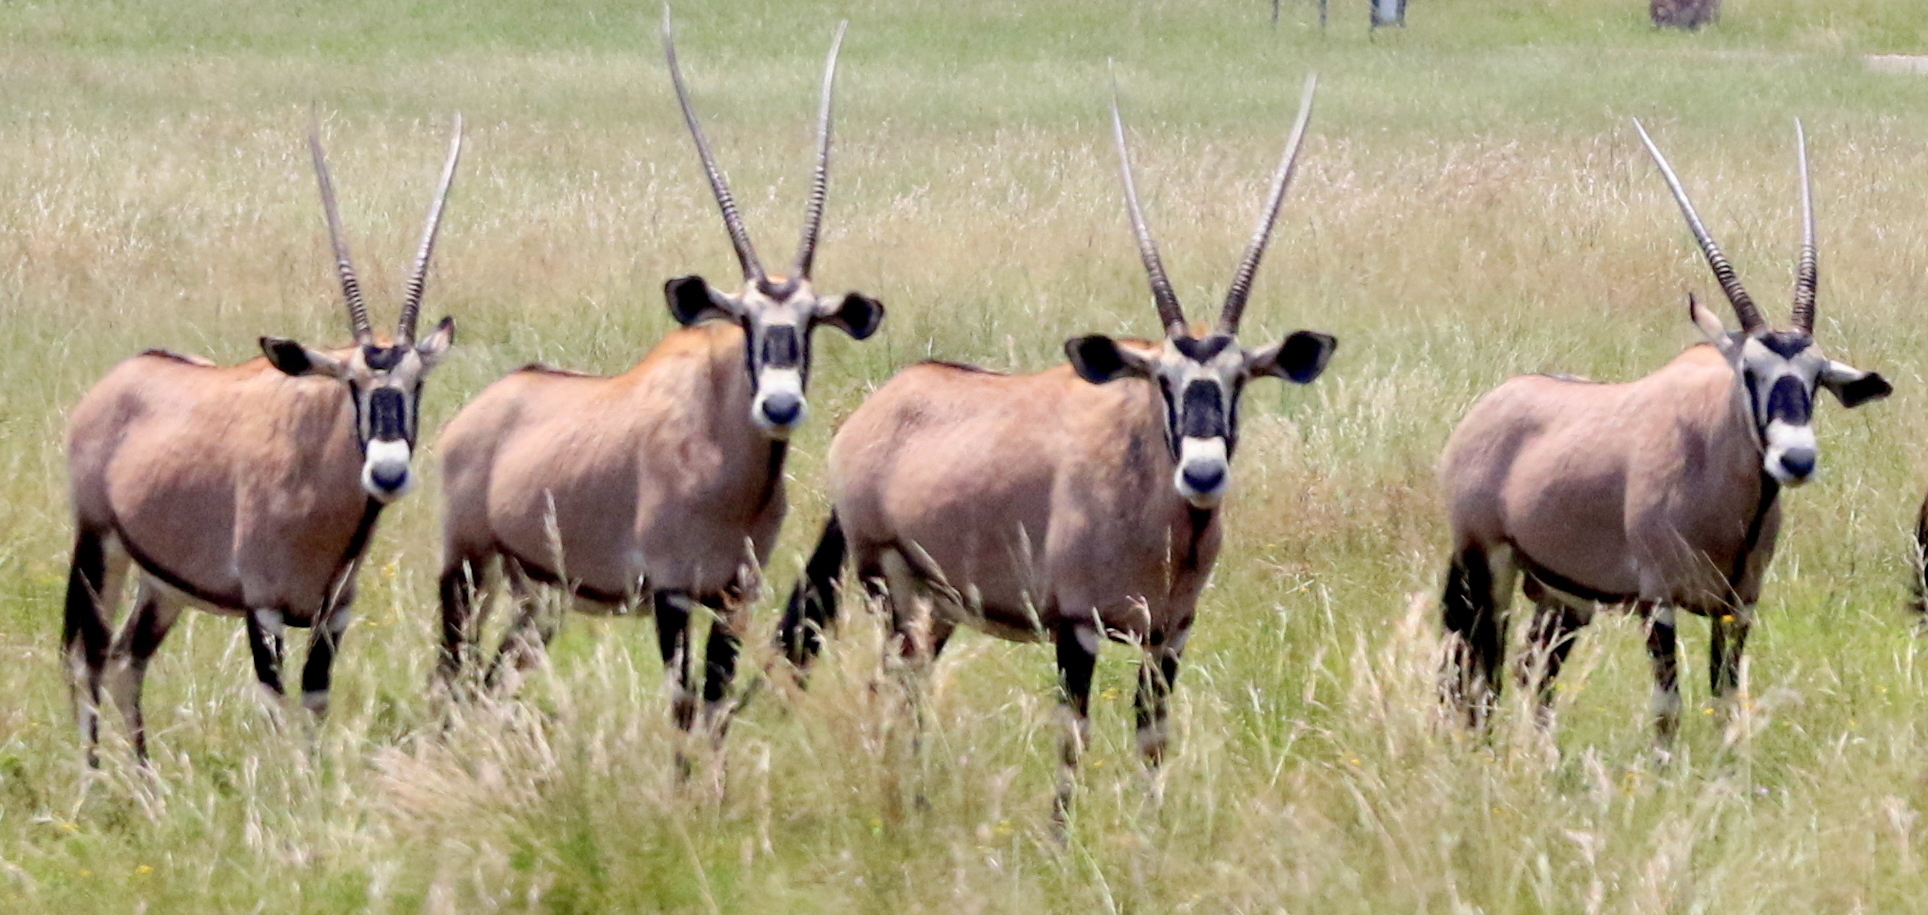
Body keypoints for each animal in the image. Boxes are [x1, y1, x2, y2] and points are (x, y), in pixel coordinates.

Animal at [66, 117, 464, 762]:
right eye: (351, 382)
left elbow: (314, 702)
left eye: (417, 382)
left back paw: (147, 782)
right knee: (89, 660)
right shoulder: (264, 608)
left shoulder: (334, 613)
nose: (387, 472)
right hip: (98, 548)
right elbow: (277, 709)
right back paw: (95, 781)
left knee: (128, 660)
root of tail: (120, 380)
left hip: (161, 585)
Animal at [431, 12, 883, 739]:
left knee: (484, 681)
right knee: (449, 679)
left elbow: (713, 709)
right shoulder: (672, 594)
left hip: (539, 597)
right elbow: (682, 708)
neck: (727, 467)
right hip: (467, 570)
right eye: (744, 318)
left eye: (813, 321)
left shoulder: (732, 596)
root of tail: (479, 411)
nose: (780, 406)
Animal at [775, 80, 1334, 824]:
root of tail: (874, 411)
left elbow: (1153, 738)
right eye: (1162, 380)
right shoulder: (1077, 627)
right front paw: (1059, 837)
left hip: (940, 605)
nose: (1203, 471)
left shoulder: (1169, 636)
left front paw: (1151, 836)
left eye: (1240, 379)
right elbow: (1073, 736)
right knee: (897, 686)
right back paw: (906, 800)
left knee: (907, 684)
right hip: (891, 590)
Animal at [1442, 117, 1889, 743]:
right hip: (1487, 571)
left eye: (1817, 378)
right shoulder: (1660, 602)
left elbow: (1726, 704)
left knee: (1535, 673)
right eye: (1748, 371)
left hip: (1563, 596)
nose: (1796, 460)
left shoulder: (1738, 607)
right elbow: (1668, 709)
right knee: (1481, 678)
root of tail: (1487, 409)